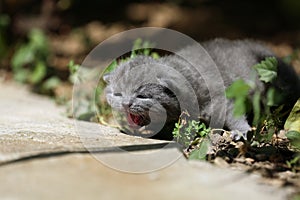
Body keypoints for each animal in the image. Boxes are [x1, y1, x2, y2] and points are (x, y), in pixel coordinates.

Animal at [104, 38, 300, 141]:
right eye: (117, 94)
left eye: (142, 96)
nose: (126, 104)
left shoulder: (221, 97)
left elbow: (233, 115)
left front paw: (241, 131)